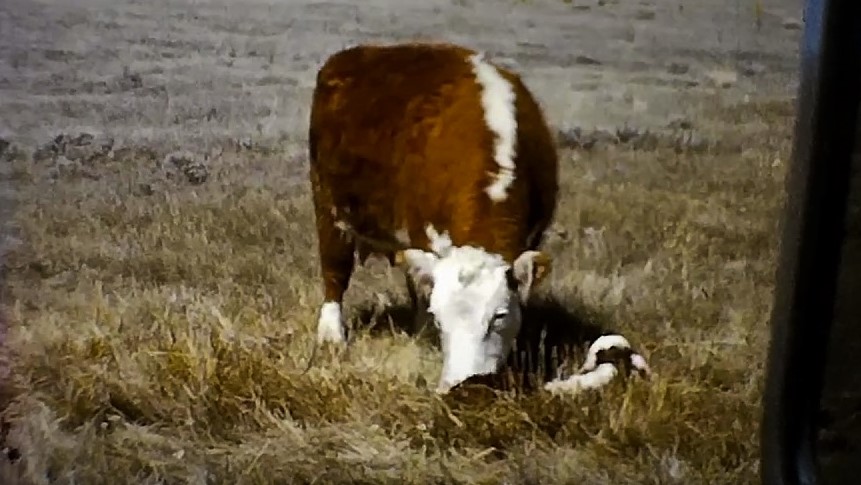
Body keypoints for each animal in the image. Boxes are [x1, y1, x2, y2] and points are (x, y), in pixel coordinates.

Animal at [307, 42, 559, 393]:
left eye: (499, 315)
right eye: (441, 319)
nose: (464, 385)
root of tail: (355, 53)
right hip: (329, 207)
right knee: (335, 273)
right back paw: (331, 335)